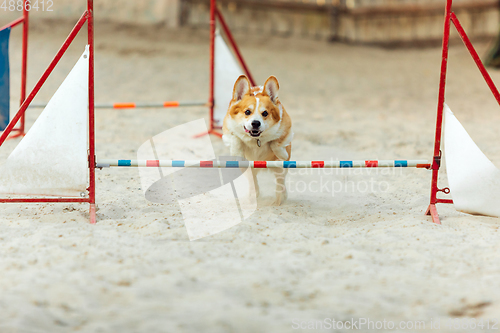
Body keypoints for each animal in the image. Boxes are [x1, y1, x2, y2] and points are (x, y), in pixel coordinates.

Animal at [223, 75, 292, 205]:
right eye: (247, 112)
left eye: (265, 113)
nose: (255, 123)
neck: (256, 139)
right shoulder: (228, 129)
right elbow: (236, 139)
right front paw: (237, 153)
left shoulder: (286, 129)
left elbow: (276, 142)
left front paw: (282, 154)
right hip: (248, 168)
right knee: (252, 180)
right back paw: (253, 195)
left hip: (280, 169)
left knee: (280, 181)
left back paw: (280, 198)